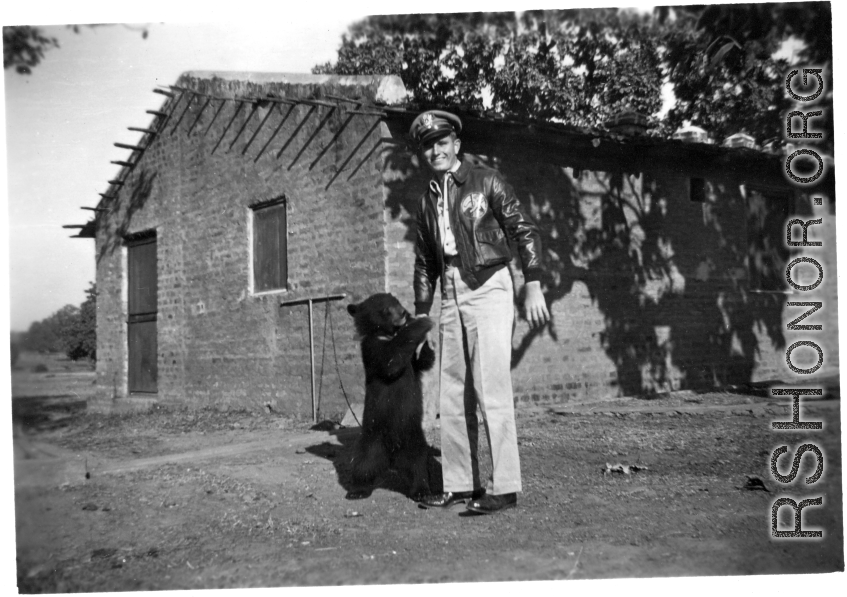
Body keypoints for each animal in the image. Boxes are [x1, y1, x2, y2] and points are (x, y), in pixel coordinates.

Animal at [346, 292, 438, 498]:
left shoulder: (412, 361)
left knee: (418, 464)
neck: (387, 333)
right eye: (386, 309)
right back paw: (357, 489)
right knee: (363, 462)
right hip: (372, 435)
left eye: (397, 302)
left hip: (413, 437)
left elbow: (423, 362)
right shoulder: (372, 348)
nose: (403, 312)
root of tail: (392, 452)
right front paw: (421, 322)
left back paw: (421, 489)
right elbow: (391, 361)